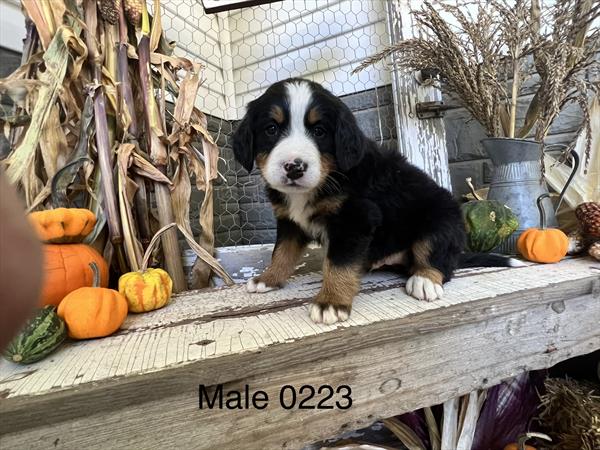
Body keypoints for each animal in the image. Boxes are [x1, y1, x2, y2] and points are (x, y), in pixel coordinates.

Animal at [232, 77, 516, 324]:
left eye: (320, 131)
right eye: (271, 129)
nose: (294, 167)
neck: (327, 176)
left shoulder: (355, 218)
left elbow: (339, 263)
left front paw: (331, 302)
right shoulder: (289, 221)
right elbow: (282, 252)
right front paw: (268, 279)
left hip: (441, 217)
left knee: (438, 257)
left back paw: (424, 279)